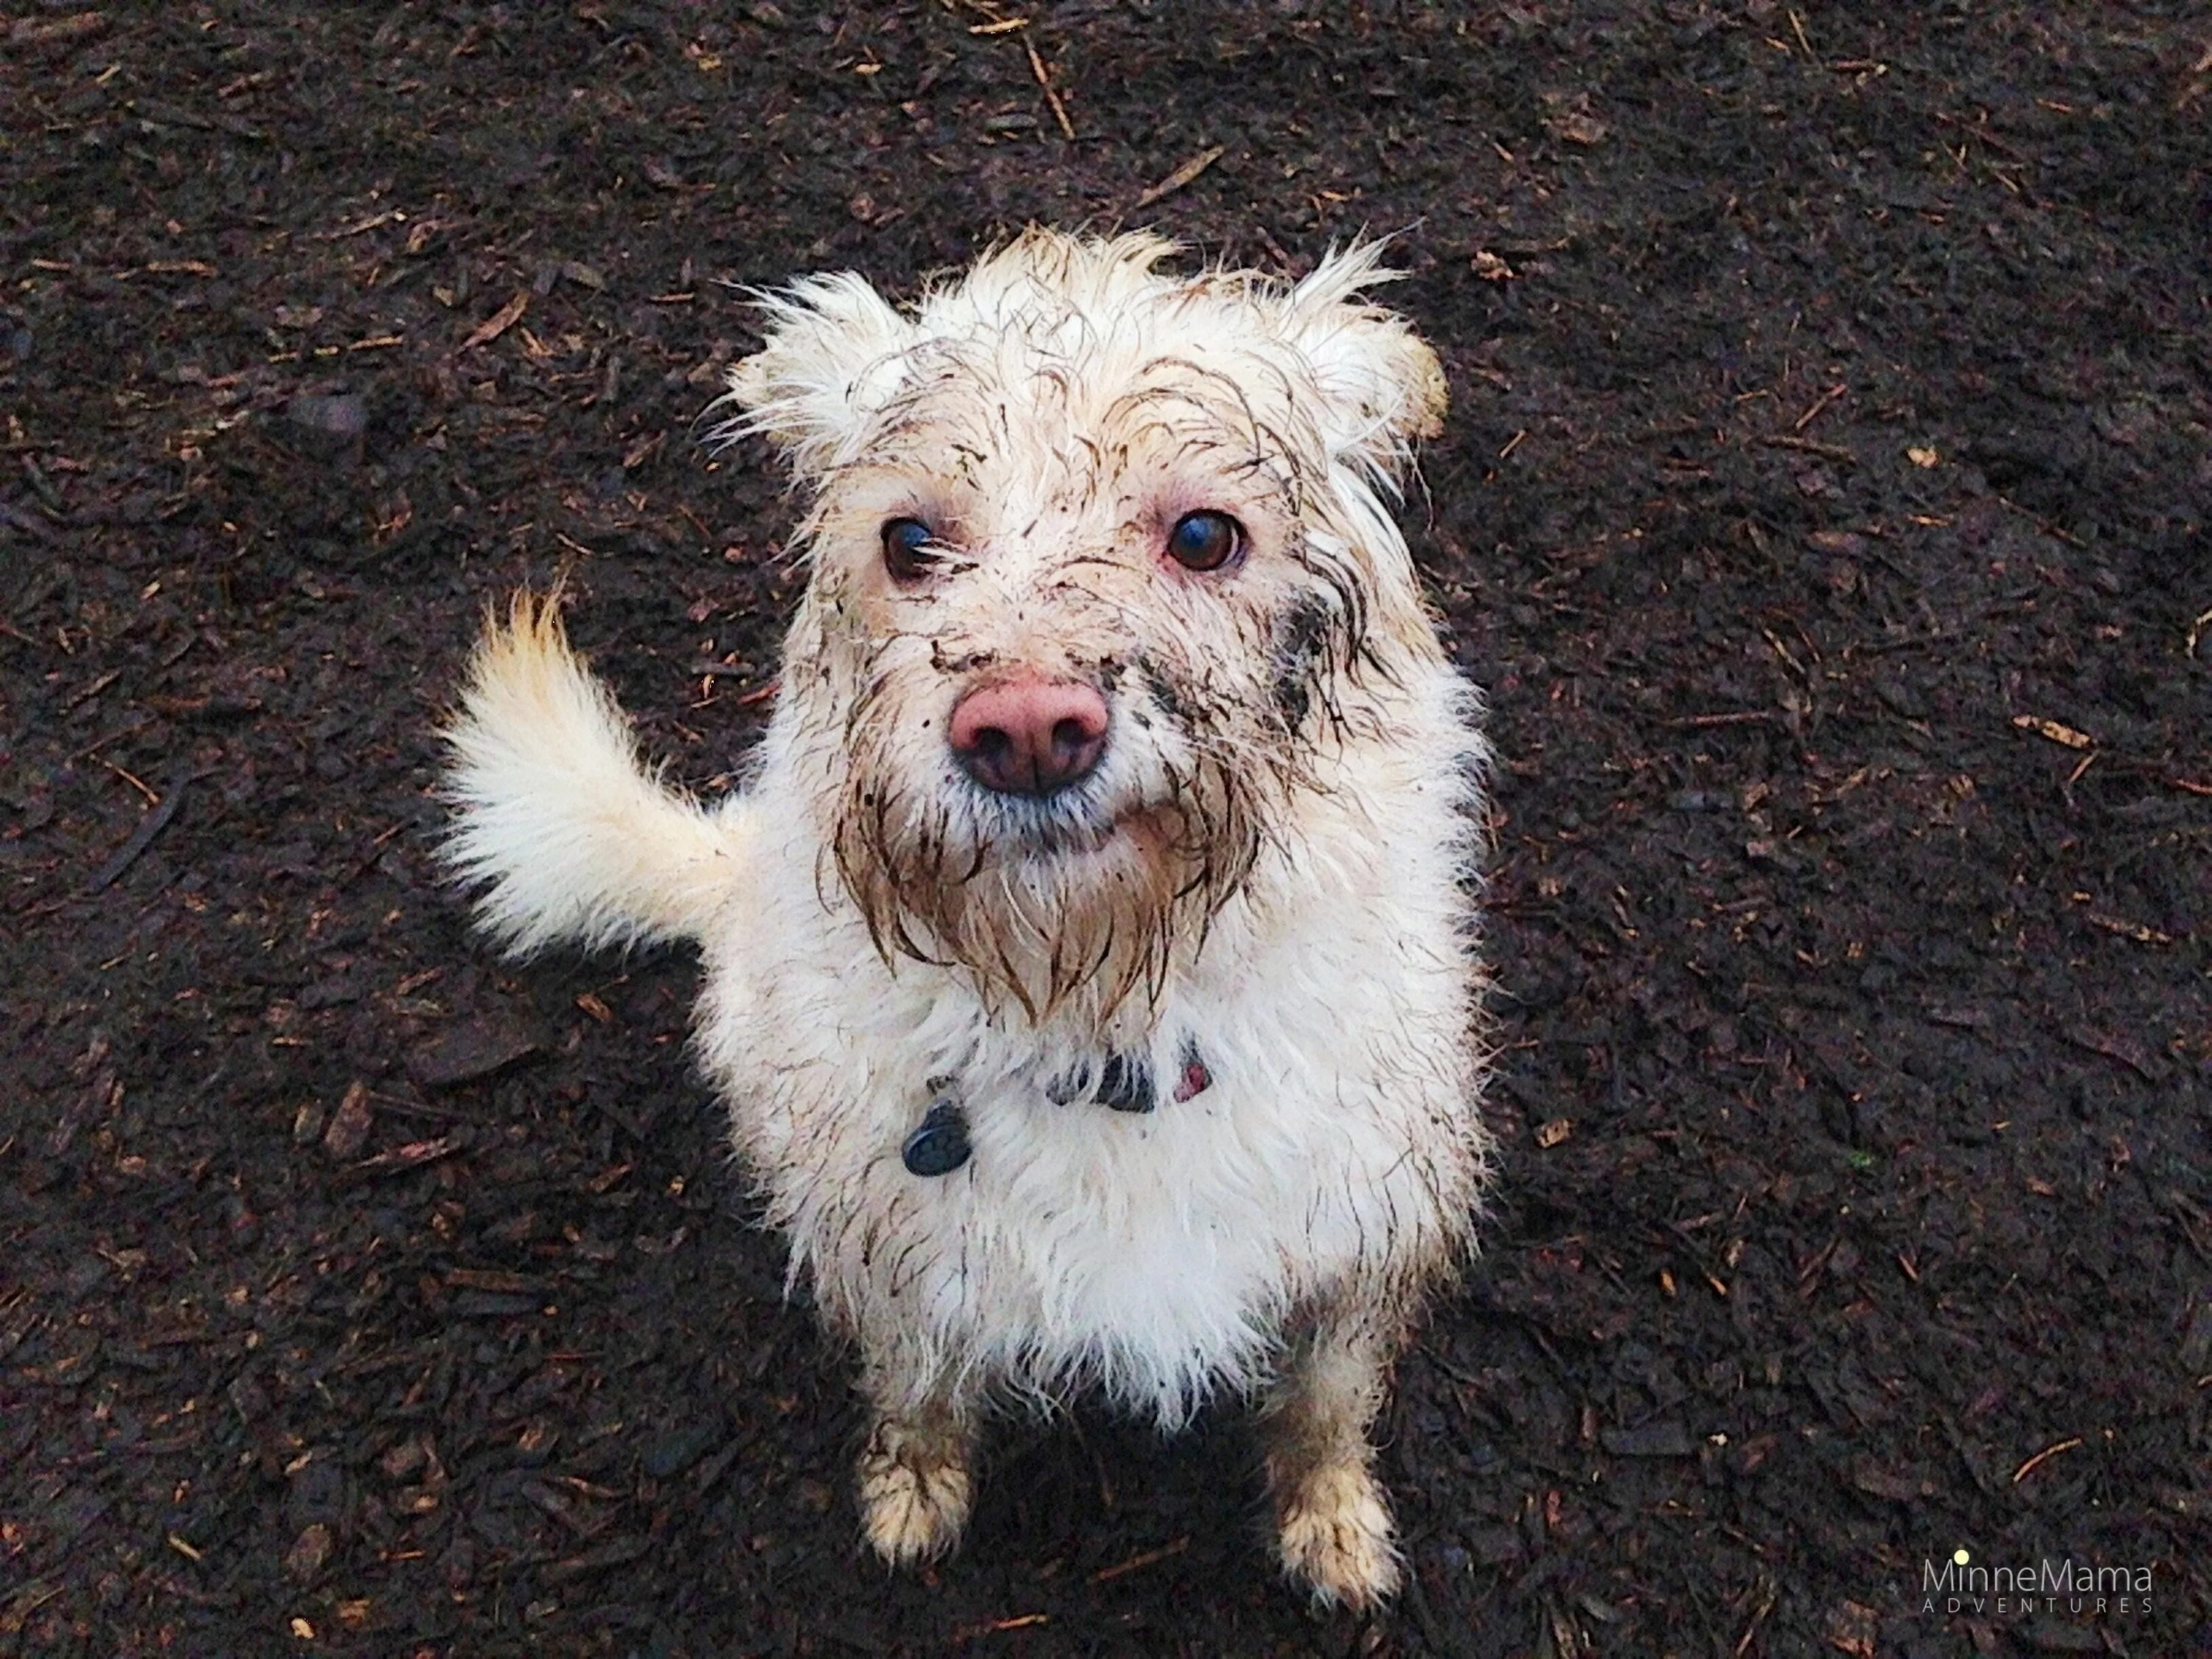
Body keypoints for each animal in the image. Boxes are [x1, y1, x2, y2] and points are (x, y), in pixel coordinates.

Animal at [440, 234, 1495, 1610]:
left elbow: (1322, 1403)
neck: (1105, 1022)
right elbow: (918, 1389)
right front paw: (911, 1495)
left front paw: (1333, 1525)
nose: (1027, 728)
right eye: (909, 539)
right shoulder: (895, 1261)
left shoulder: (1359, 1242)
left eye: (1205, 534)